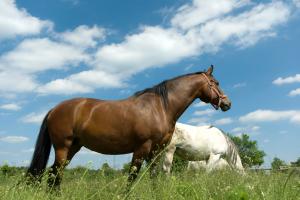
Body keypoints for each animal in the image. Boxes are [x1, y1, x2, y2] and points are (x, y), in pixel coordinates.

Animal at [27, 65, 231, 189]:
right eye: (216, 83)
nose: (227, 104)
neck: (160, 107)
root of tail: (54, 109)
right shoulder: (142, 148)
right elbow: (132, 177)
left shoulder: (155, 152)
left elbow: (154, 177)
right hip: (63, 147)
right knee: (55, 174)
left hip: (73, 148)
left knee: (54, 174)